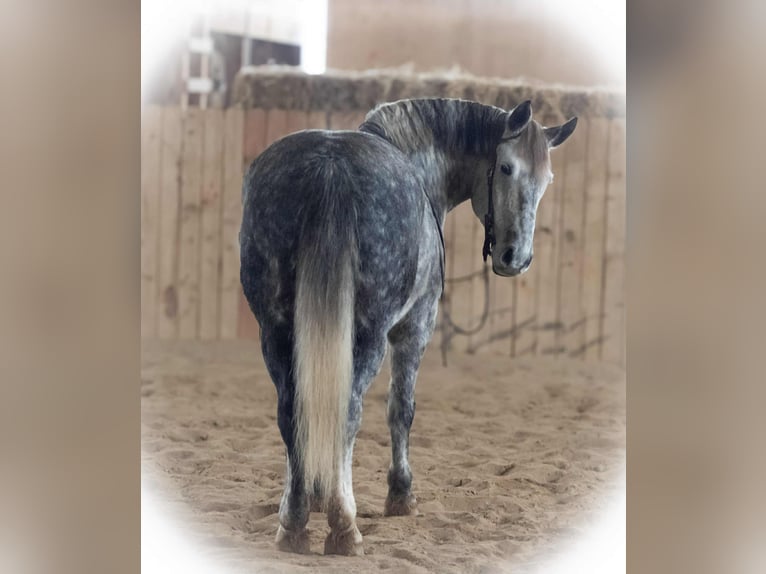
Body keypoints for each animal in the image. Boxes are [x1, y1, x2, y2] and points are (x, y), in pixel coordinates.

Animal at [239, 98, 577, 556]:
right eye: (506, 167)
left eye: (546, 180)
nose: (515, 257)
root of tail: (330, 166)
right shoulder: (415, 329)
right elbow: (401, 410)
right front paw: (401, 496)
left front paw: (311, 496)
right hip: (367, 334)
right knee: (348, 411)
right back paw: (344, 527)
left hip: (273, 330)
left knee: (292, 410)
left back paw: (294, 524)